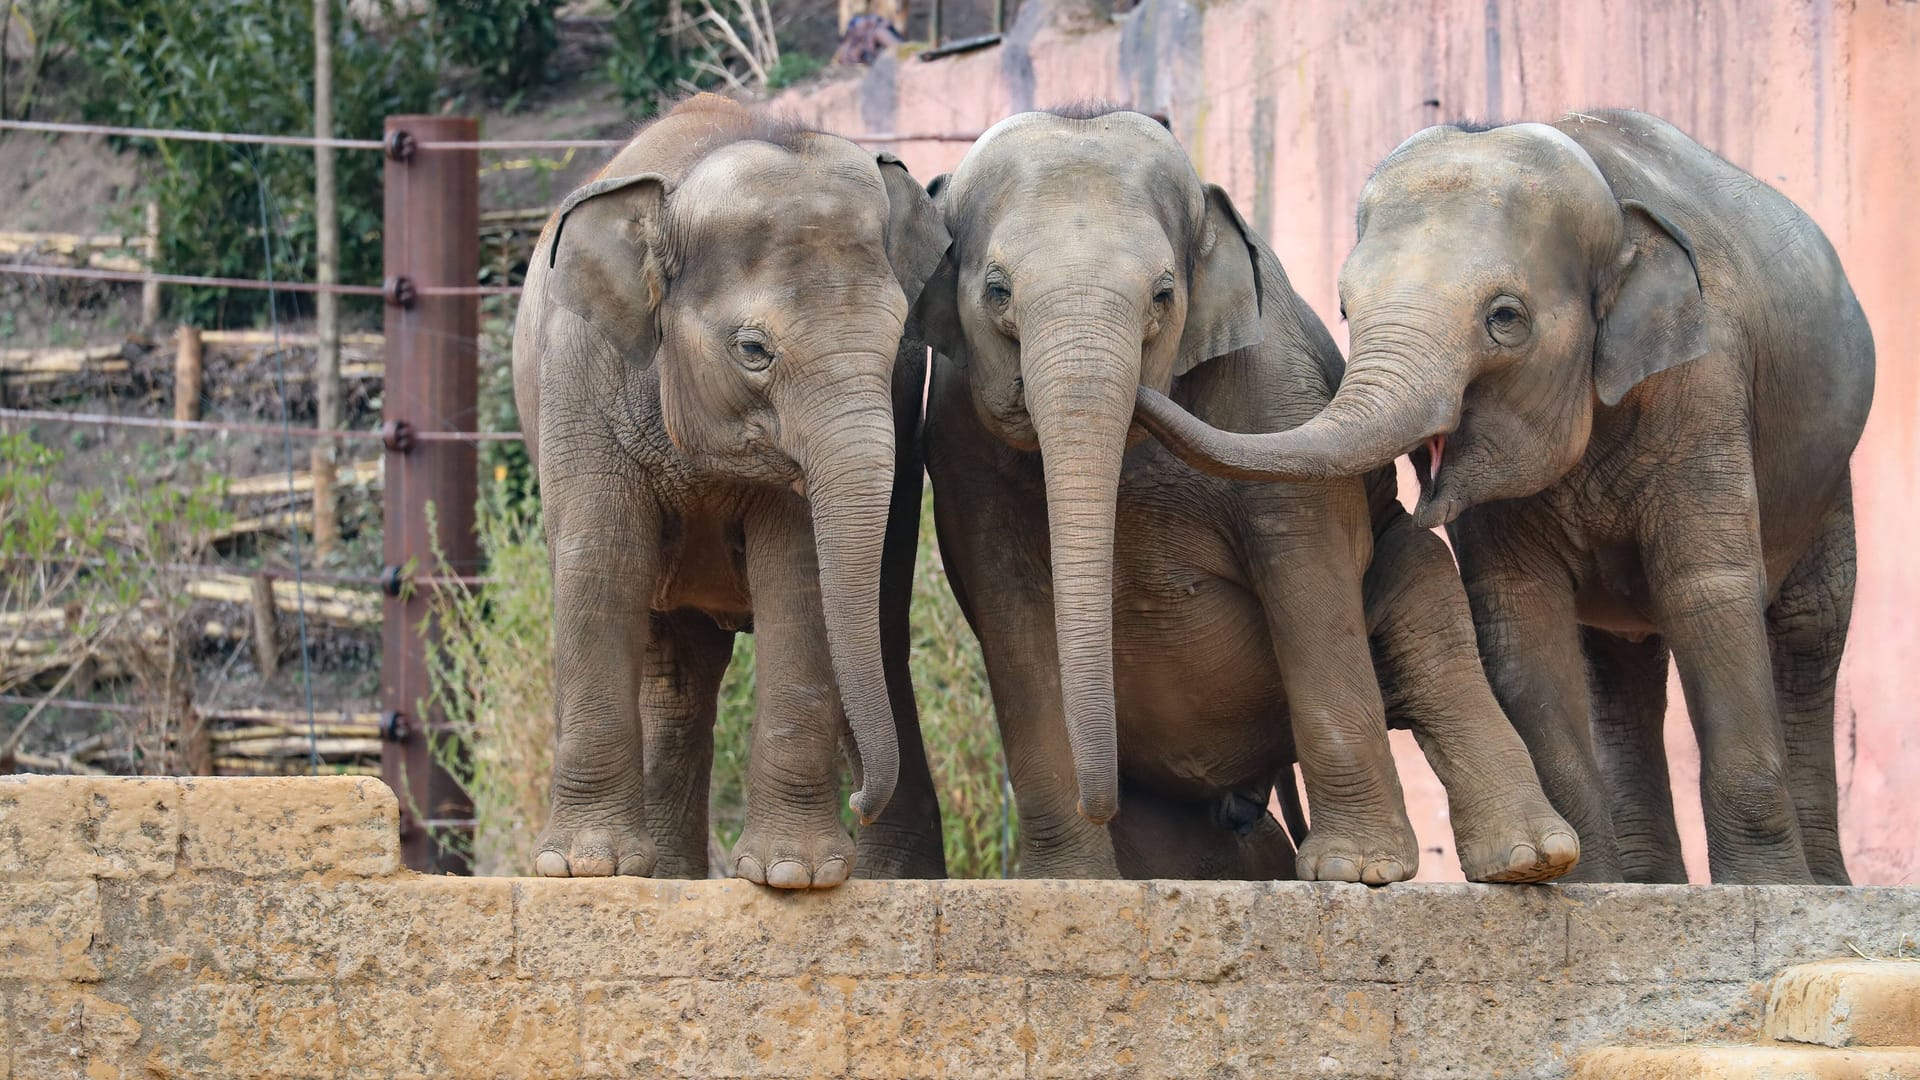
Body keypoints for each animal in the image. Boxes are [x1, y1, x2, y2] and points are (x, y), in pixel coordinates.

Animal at [510, 92, 952, 883]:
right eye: (753, 350)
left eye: (899, 339)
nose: (860, 802)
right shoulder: (579, 373)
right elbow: (602, 562)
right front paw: (584, 869)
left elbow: (800, 576)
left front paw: (794, 876)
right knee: (676, 673)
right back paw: (663, 875)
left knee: (876, 626)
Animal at [913, 107, 1574, 883]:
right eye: (997, 292)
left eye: (1164, 295)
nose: (1096, 800)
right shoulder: (957, 436)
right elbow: (1007, 602)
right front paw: (1071, 884)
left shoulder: (1277, 393)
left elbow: (1305, 569)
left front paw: (1357, 871)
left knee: (1431, 614)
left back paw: (1528, 860)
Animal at [1136, 109, 1873, 883]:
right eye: (1343, 307)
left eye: (1506, 318)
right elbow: (1519, 616)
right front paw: (1578, 886)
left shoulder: (1705, 386)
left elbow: (1708, 591)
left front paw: (1769, 890)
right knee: (1619, 663)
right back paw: (1650, 882)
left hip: (1828, 476)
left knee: (1809, 627)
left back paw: (1823, 883)